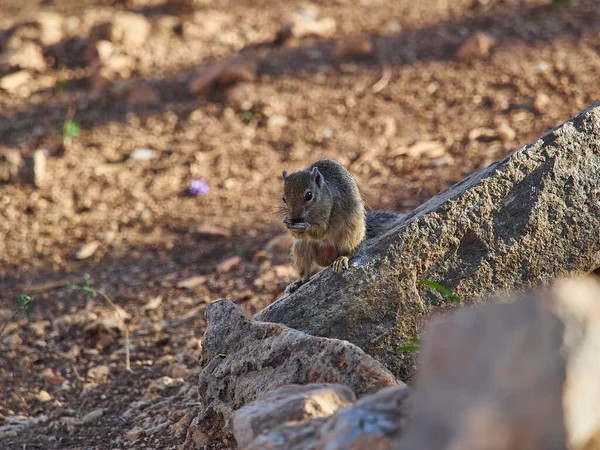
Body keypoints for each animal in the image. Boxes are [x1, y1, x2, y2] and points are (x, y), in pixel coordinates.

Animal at [282, 159, 404, 296]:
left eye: (309, 195)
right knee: (305, 272)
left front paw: (306, 226)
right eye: (284, 198)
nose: (295, 217)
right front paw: (288, 223)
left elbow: (321, 231)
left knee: (350, 252)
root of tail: (328, 258)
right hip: (301, 247)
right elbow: (297, 234)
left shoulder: (329, 208)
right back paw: (298, 282)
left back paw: (342, 259)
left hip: (350, 235)